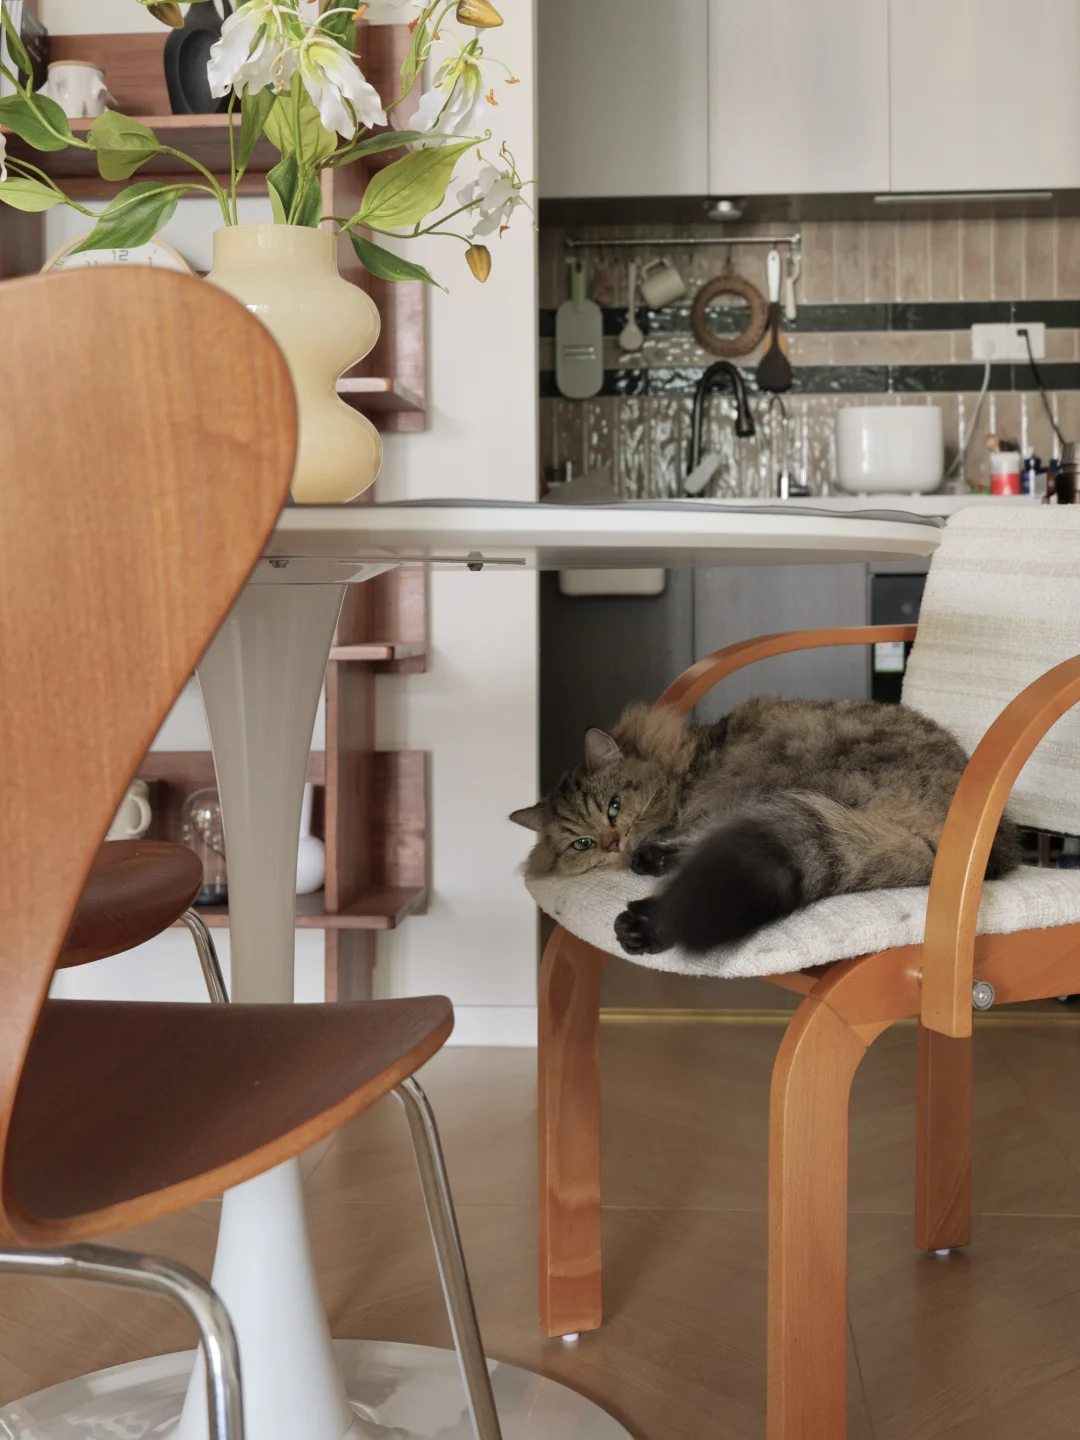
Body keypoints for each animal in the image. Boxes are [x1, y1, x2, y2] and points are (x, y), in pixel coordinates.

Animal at [511, 698, 1022, 957]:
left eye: (614, 806)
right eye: (581, 843)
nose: (613, 843)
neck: (686, 761)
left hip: (785, 786)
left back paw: (644, 919)